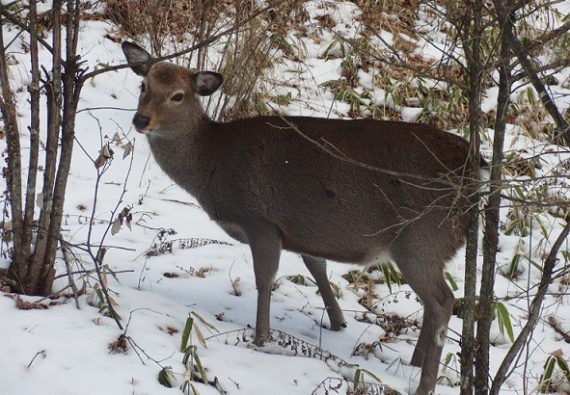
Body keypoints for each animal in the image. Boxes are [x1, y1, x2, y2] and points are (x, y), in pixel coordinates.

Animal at [122, 41, 478, 395]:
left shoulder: (260, 220)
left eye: (178, 95)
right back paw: (415, 362)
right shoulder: (302, 231)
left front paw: (261, 338)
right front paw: (337, 321)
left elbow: (265, 278)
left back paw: (424, 383)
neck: (212, 165)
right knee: (434, 303)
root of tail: (476, 170)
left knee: (443, 301)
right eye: (144, 85)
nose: (141, 119)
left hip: (421, 239)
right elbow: (316, 266)